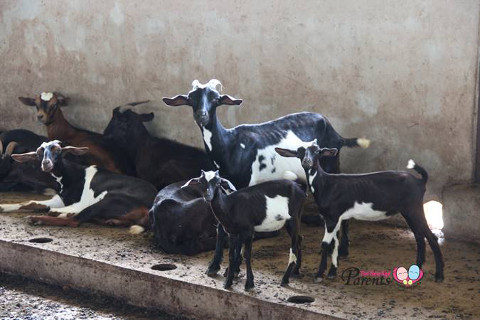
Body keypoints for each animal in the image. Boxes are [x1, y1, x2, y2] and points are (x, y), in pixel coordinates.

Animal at [0, 141, 157, 230]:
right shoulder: (59, 199)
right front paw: (3, 206)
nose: (46, 163)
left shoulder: (78, 202)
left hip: (110, 200)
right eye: (39, 152)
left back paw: (38, 218)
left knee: (74, 220)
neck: (71, 174)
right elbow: (30, 202)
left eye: (57, 149)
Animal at [163, 79, 370, 274]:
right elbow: (221, 226)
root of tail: (337, 134)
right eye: (191, 99)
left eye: (215, 99)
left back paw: (343, 249)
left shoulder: (243, 185)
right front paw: (214, 266)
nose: (202, 115)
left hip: (331, 165)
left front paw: (234, 268)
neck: (230, 146)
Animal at [276, 142, 444, 282]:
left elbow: (325, 244)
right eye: (300, 152)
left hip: (414, 208)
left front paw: (319, 274)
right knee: (419, 238)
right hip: (409, 211)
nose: (307, 162)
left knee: (431, 238)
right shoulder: (333, 218)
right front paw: (332, 272)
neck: (326, 184)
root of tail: (420, 181)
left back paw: (439, 275)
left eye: (317, 151)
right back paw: (417, 269)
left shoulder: (333, 217)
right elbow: (334, 244)